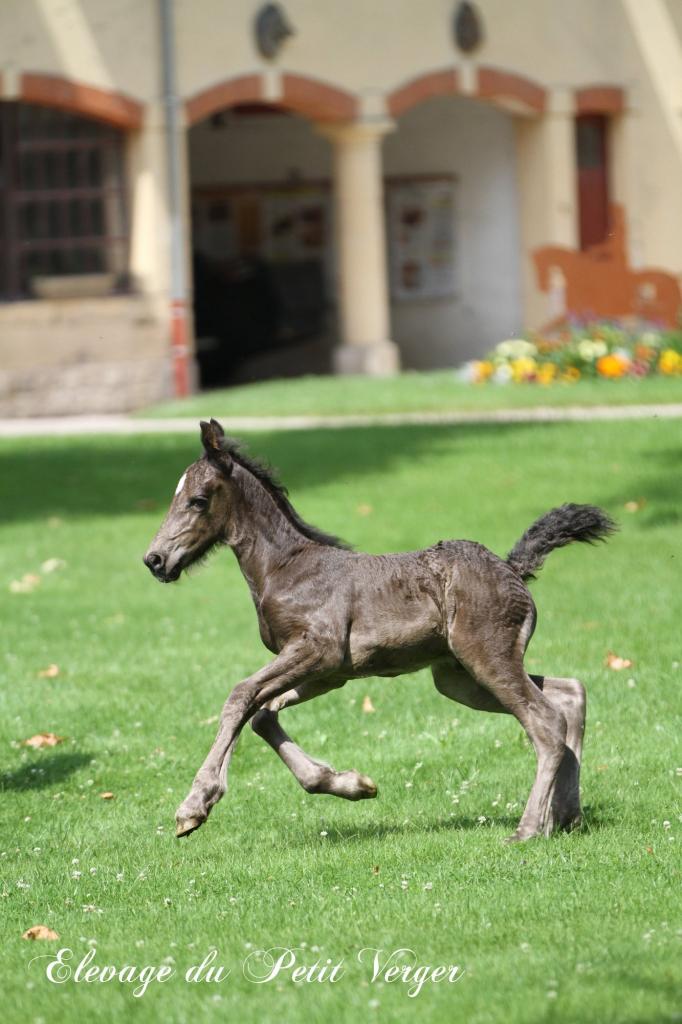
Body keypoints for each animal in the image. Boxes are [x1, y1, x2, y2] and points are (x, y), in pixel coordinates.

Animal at [142, 419, 610, 843]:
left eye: (198, 500)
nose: (155, 559)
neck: (285, 569)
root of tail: (512, 568)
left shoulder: (319, 651)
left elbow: (240, 697)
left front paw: (194, 806)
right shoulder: (330, 673)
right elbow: (262, 714)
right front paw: (350, 784)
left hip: (485, 657)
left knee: (545, 721)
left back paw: (528, 829)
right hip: (458, 677)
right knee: (570, 694)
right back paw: (565, 816)